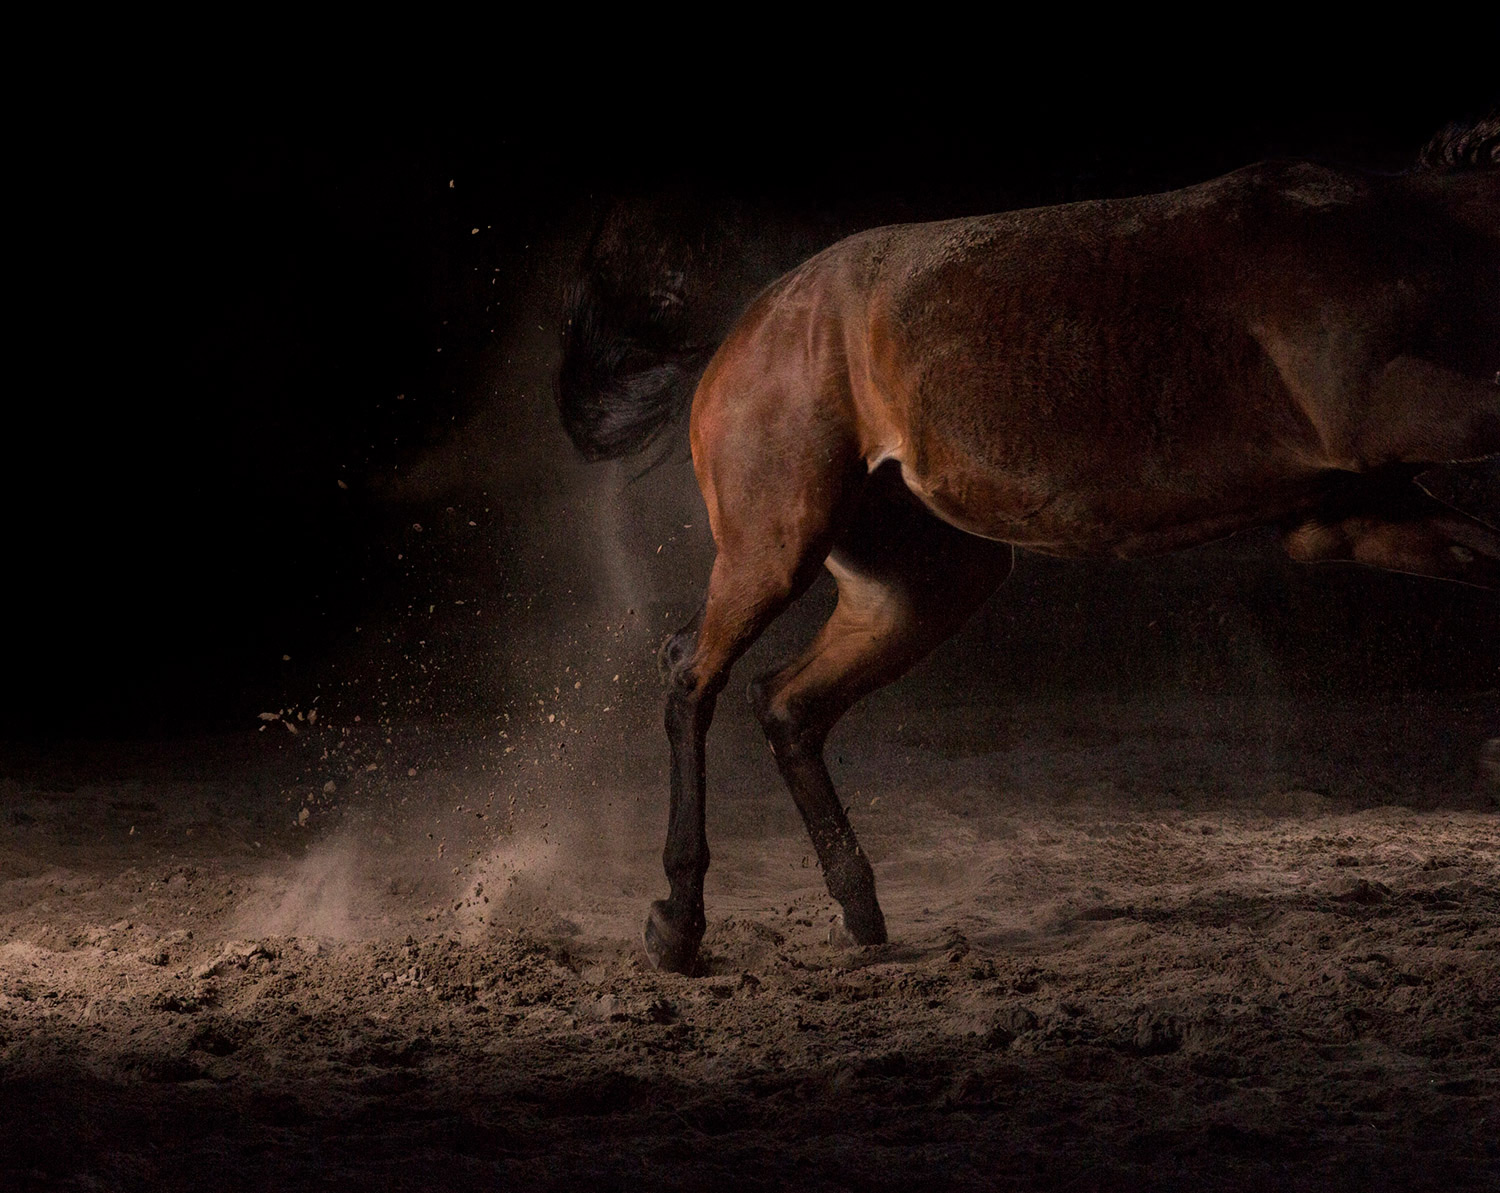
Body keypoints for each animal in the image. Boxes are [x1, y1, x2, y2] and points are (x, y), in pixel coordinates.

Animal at [556, 118, 1500, 975]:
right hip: (775, 546)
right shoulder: (1393, 411)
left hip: (924, 583)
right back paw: (678, 924)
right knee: (693, 674)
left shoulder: (1352, 513)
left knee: (786, 701)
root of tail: (740, 337)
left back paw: (857, 909)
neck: (1410, 227)